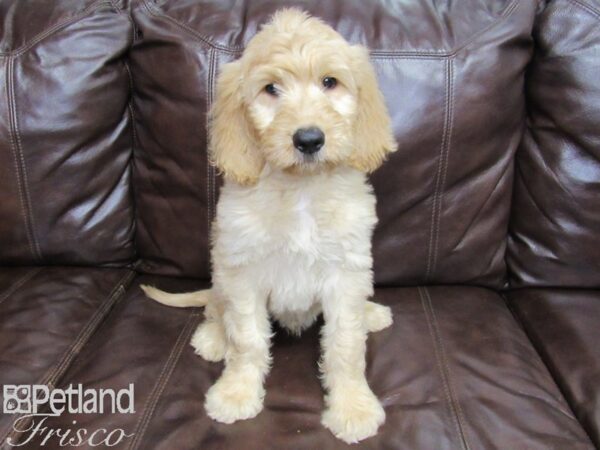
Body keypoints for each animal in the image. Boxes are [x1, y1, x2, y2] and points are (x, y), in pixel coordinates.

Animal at [142, 7, 398, 442]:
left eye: (330, 82)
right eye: (270, 89)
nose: (309, 139)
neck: (300, 191)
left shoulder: (345, 273)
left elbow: (346, 345)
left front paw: (353, 406)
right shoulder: (243, 272)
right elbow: (247, 339)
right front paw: (236, 392)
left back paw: (371, 313)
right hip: (221, 270)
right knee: (215, 305)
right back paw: (213, 337)